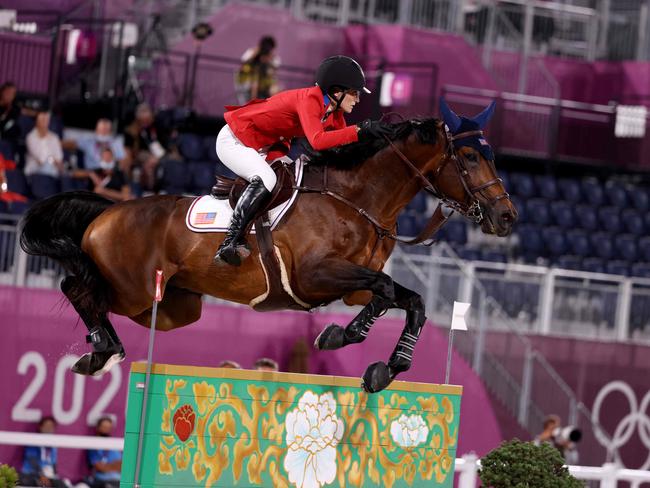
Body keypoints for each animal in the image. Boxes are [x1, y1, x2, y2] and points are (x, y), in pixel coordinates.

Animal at [19, 99, 516, 392]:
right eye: (470, 157)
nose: (507, 217)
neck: (358, 199)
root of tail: (107, 211)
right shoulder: (316, 275)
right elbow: (390, 290)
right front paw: (347, 339)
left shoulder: (352, 286)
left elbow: (406, 299)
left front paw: (381, 363)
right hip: (134, 289)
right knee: (76, 287)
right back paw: (100, 351)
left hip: (172, 307)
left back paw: (101, 349)